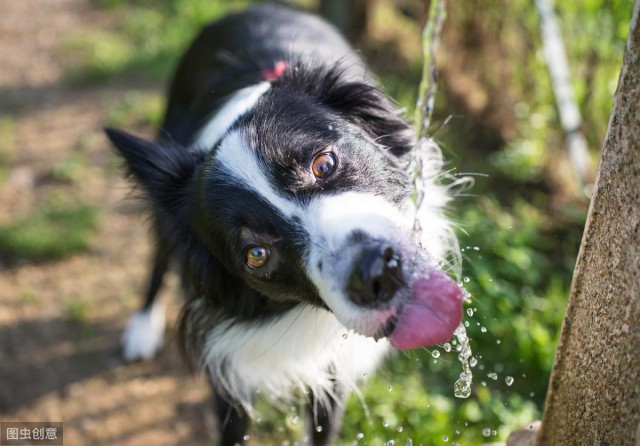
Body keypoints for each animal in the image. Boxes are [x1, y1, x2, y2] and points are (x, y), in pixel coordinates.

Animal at [107, 4, 462, 446]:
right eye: (256, 255)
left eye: (324, 163)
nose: (377, 274)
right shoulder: (227, 369)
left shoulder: (333, 372)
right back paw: (142, 327)